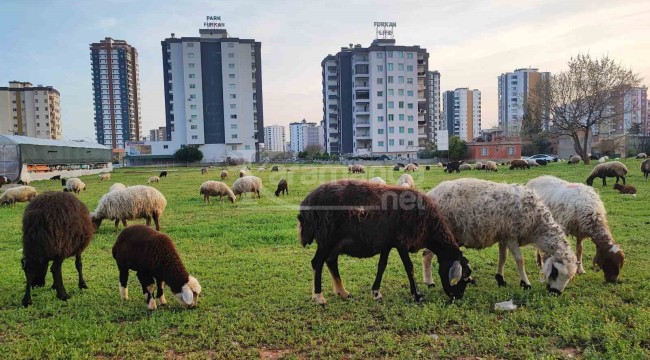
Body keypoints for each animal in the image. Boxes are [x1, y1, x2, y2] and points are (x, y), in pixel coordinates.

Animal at [298, 180, 470, 304]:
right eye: (462, 277)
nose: (458, 297)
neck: (429, 226)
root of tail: (306, 205)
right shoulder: (401, 242)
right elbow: (409, 267)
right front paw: (417, 295)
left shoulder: (388, 243)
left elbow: (382, 266)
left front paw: (376, 293)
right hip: (326, 238)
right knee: (317, 262)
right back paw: (319, 297)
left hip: (336, 242)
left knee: (331, 261)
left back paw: (343, 292)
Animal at [422, 179, 576, 294]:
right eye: (555, 272)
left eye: (569, 278)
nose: (555, 293)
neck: (536, 224)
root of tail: (431, 193)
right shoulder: (511, 236)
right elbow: (520, 260)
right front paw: (525, 283)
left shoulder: (503, 236)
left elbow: (503, 258)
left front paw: (500, 279)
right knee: (427, 255)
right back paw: (429, 282)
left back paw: (468, 279)